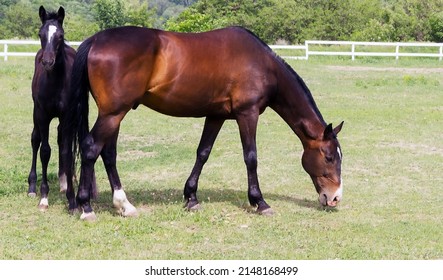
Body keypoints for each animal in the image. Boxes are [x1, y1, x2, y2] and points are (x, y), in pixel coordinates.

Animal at [67, 27, 346, 222]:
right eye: (329, 157)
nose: (334, 198)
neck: (262, 64)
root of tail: (95, 40)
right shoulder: (248, 114)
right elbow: (251, 157)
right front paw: (260, 202)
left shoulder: (216, 116)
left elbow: (203, 153)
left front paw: (191, 197)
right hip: (113, 113)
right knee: (92, 148)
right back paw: (86, 207)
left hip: (114, 114)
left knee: (108, 153)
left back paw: (124, 206)